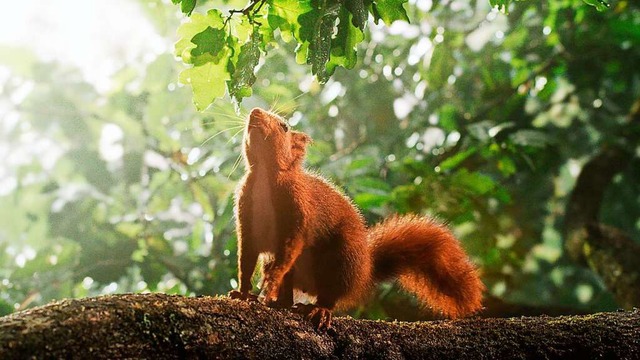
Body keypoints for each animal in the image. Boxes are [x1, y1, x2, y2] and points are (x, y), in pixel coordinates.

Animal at [228, 107, 482, 330]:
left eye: (284, 126)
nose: (255, 111)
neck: (265, 175)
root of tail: (365, 270)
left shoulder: (299, 210)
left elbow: (290, 248)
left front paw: (270, 283)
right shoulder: (245, 216)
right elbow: (246, 258)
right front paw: (243, 293)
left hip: (342, 261)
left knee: (330, 294)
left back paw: (318, 310)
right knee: (290, 293)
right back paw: (281, 303)